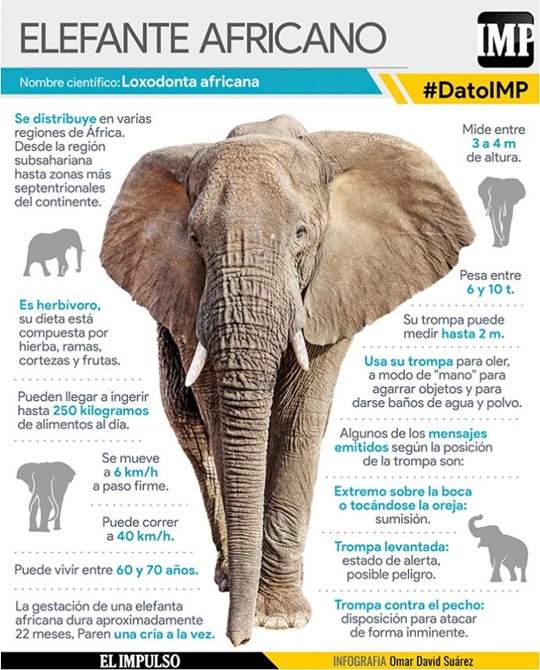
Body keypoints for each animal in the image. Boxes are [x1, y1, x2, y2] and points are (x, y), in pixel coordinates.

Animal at [101, 114, 474, 645]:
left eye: (301, 234)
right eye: (193, 240)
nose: (238, 639)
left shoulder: (332, 287)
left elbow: (300, 418)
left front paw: (279, 618)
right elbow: (219, 415)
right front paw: (257, 602)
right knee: (188, 426)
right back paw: (227, 577)